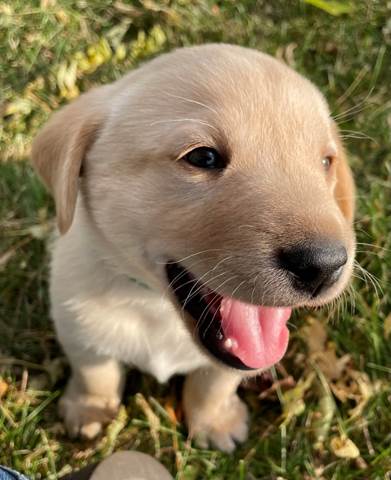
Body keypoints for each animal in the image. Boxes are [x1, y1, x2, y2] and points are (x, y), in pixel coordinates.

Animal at [31, 43, 356, 452]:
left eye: (326, 162)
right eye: (203, 157)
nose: (324, 265)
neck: (154, 306)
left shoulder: (230, 363)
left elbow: (214, 382)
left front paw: (215, 422)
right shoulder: (77, 327)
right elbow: (95, 373)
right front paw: (89, 411)